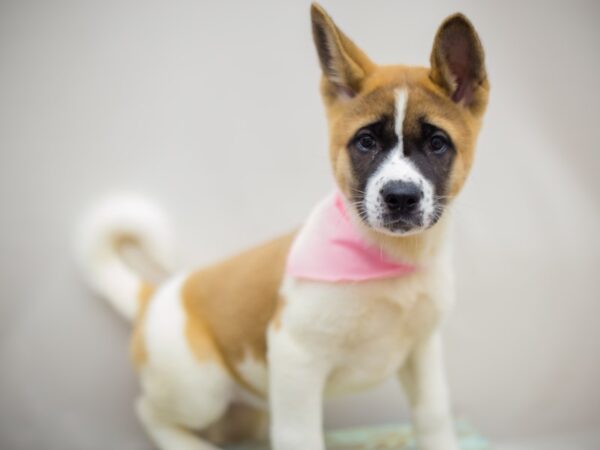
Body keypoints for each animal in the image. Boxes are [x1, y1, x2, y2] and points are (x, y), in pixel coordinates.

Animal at [77, 4, 488, 450]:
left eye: (437, 143)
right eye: (365, 142)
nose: (400, 197)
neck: (390, 260)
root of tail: (157, 296)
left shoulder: (422, 352)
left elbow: (433, 417)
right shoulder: (295, 357)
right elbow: (300, 436)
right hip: (200, 389)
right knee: (148, 412)